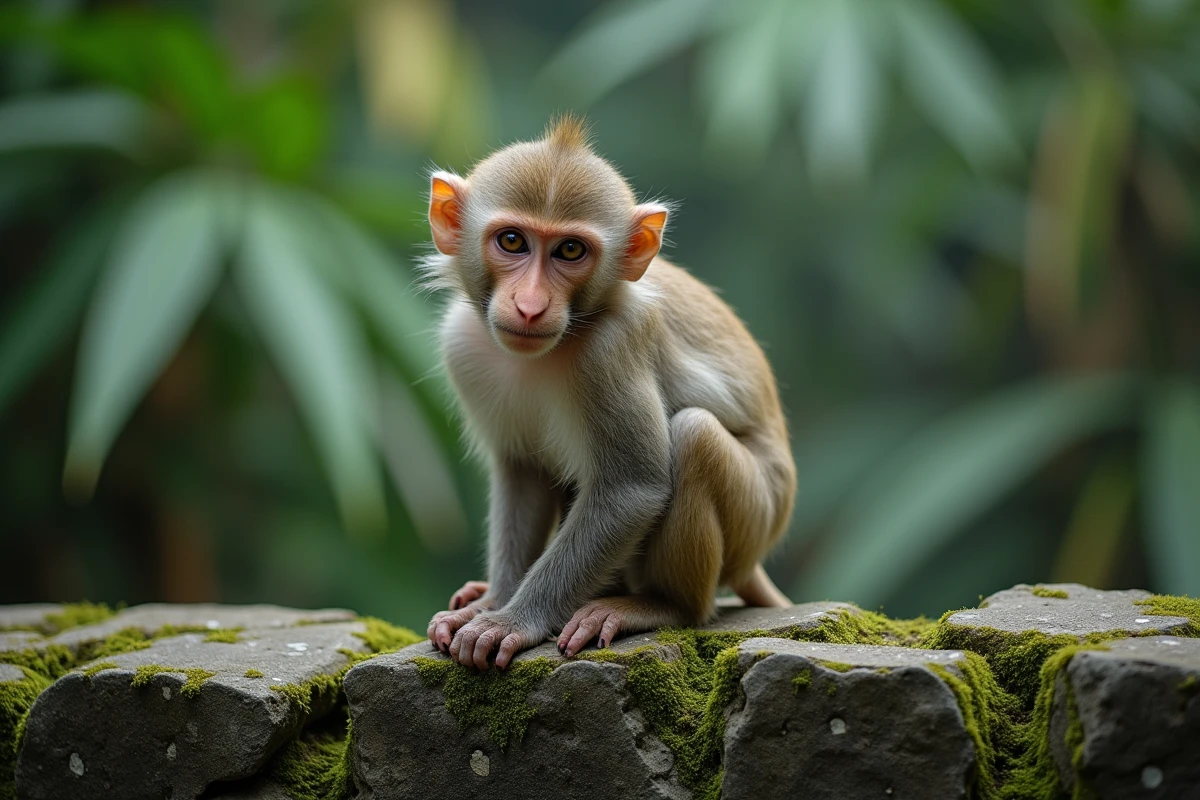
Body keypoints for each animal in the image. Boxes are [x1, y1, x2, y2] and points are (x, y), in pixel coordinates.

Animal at [423, 115, 796, 670]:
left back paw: (660, 606)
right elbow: (524, 471)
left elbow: (630, 489)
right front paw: (492, 602)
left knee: (694, 436)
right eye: (512, 241)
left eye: (570, 250)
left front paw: (513, 620)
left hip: (757, 517)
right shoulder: (463, 345)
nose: (530, 306)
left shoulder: (611, 348)